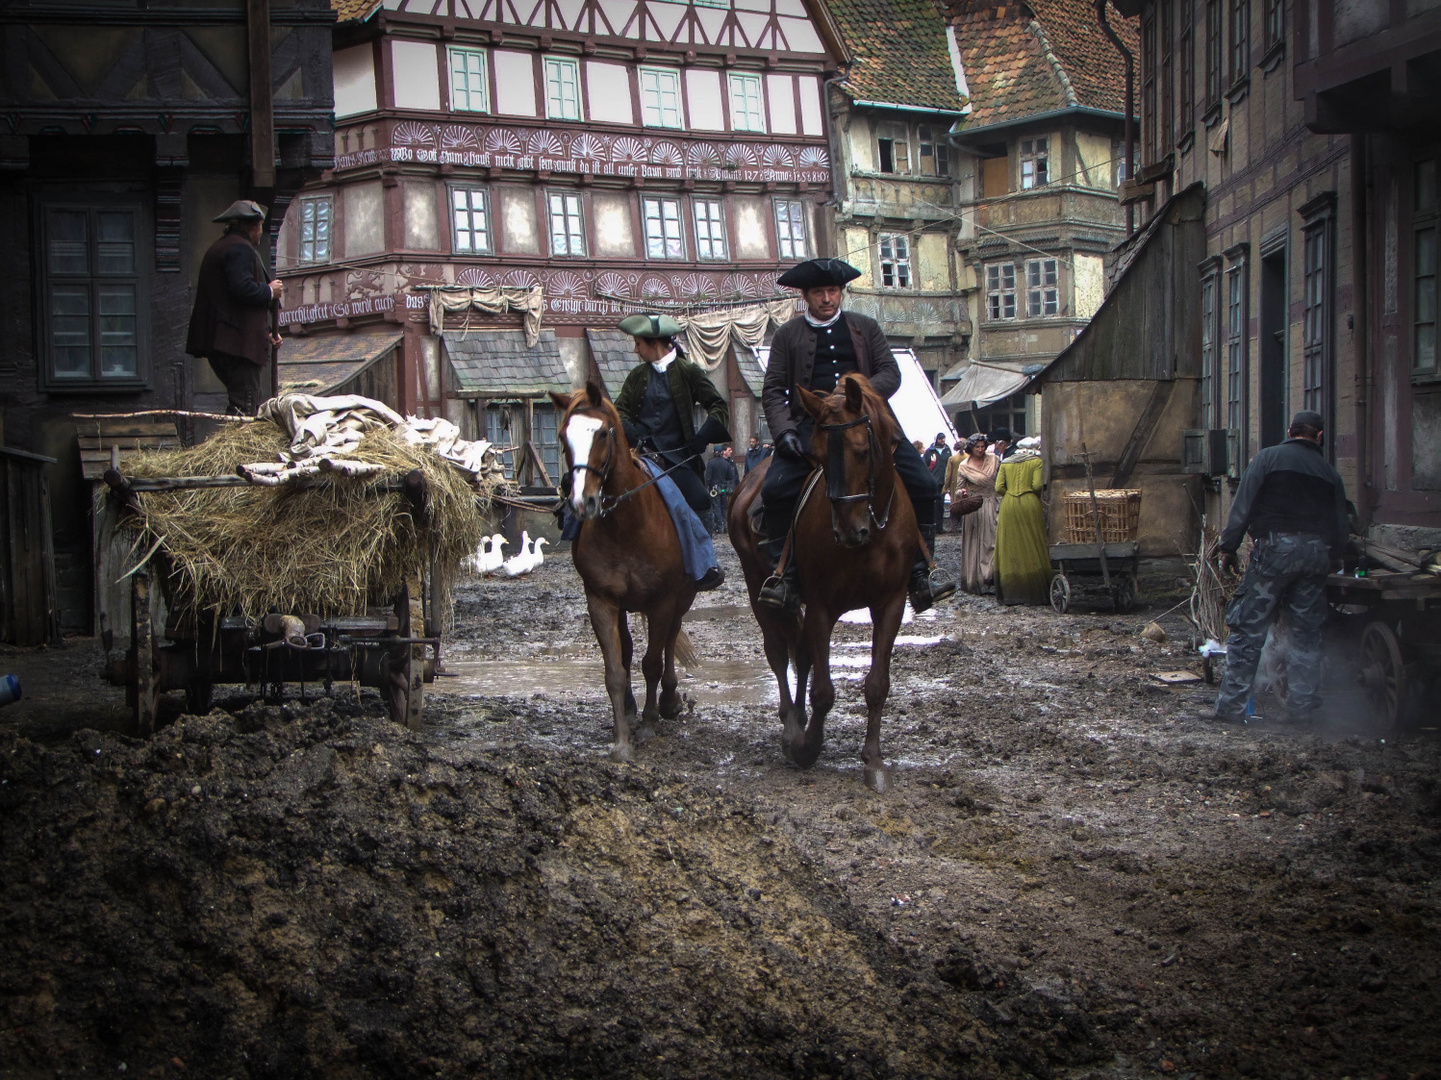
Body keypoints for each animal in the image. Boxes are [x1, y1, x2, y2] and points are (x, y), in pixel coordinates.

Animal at [547, 377, 694, 755]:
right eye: (563, 436)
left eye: (601, 433)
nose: (582, 502)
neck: (626, 525)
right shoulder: (601, 601)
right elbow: (615, 669)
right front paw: (622, 739)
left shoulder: (662, 601)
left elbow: (652, 661)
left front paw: (649, 721)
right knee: (627, 650)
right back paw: (630, 709)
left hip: (681, 599)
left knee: (670, 639)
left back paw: (668, 701)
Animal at [726, 372, 916, 790]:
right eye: (818, 457)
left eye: (863, 450)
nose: (849, 531)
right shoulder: (822, 605)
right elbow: (824, 690)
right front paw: (807, 746)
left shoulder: (891, 603)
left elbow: (877, 684)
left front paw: (873, 760)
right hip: (756, 583)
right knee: (779, 652)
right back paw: (790, 722)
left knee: (800, 653)